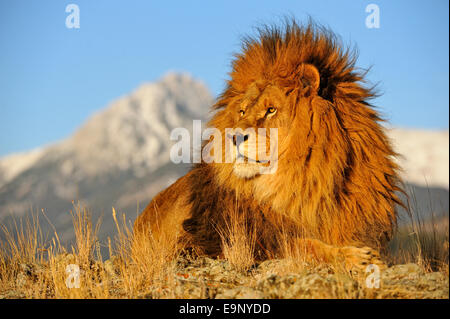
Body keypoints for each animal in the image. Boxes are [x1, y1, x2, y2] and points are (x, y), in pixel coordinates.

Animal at [134, 20, 404, 272]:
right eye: (242, 111)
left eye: (271, 110)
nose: (233, 137)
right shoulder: (219, 241)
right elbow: (303, 245)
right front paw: (357, 257)